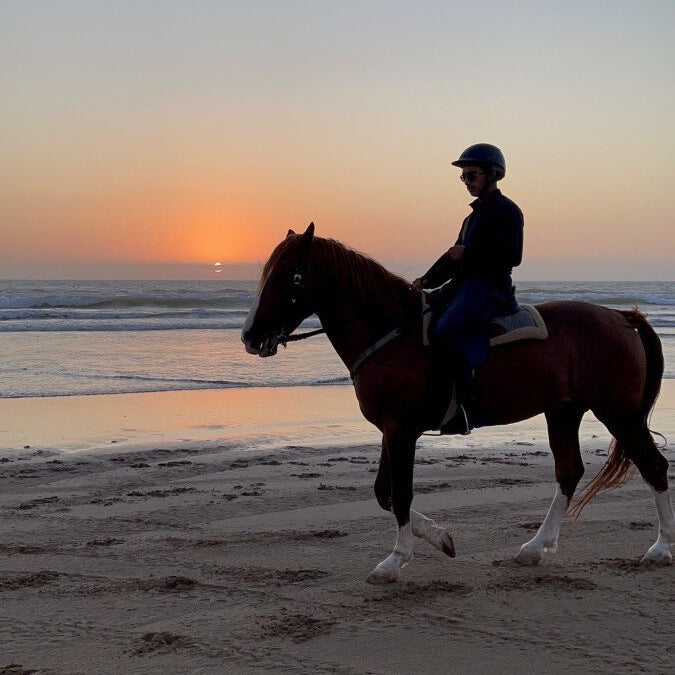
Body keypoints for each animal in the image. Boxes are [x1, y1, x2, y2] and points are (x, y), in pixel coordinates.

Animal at [241, 223, 674, 583]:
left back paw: (660, 549)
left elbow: (400, 494)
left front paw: (395, 560)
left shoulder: (402, 431)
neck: (392, 333)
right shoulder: (390, 430)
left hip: (618, 412)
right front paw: (441, 538)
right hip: (564, 412)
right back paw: (535, 548)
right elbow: (384, 492)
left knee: (652, 465)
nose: (249, 335)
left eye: (289, 276)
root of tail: (621, 316)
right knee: (569, 472)